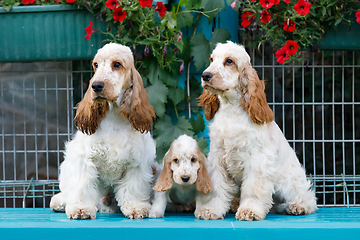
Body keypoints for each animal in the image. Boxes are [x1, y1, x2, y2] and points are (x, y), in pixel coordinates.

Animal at [50, 43, 157, 219]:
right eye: (96, 65)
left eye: (117, 64)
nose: (96, 85)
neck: (114, 116)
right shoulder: (84, 158)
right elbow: (82, 186)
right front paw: (81, 209)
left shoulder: (137, 162)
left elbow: (132, 188)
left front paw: (136, 207)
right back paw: (59, 202)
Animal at [195, 40, 316, 220]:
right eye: (211, 59)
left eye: (229, 61)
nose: (205, 76)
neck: (231, 109)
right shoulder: (217, 157)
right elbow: (216, 187)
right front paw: (210, 209)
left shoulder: (257, 160)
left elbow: (253, 189)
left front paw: (249, 211)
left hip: (289, 182)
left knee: (307, 198)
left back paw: (297, 206)